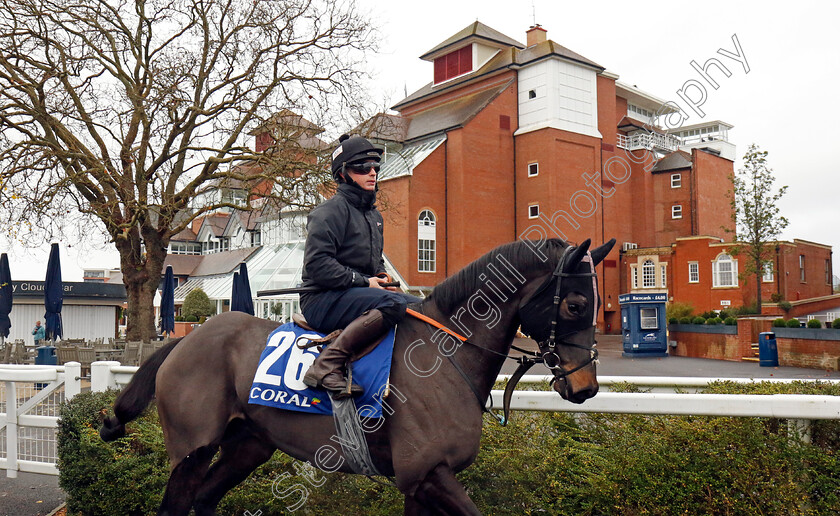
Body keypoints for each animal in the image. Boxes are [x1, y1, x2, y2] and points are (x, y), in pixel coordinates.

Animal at [101, 236, 616, 512]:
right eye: (575, 304)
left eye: (593, 304)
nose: (586, 386)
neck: (445, 356)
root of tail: (187, 339)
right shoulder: (428, 472)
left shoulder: (420, 482)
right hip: (192, 450)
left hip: (247, 445)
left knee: (206, 500)